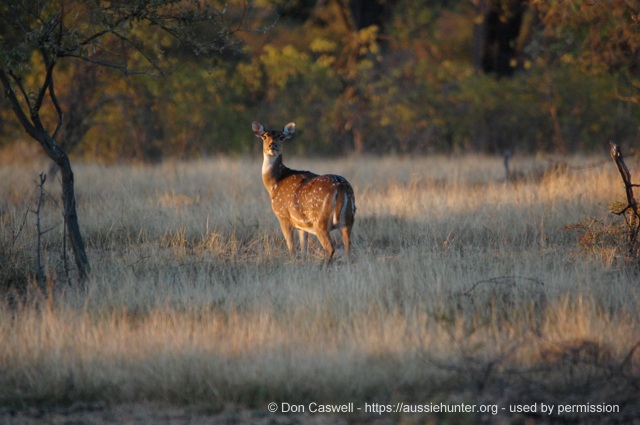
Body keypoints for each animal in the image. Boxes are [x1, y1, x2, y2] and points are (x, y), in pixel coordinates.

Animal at [252, 121, 356, 264]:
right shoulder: (302, 224)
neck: (274, 184)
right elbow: (303, 249)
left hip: (320, 221)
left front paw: (292, 263)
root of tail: (340, 186)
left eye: (281, 137)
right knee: (348, 248)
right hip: (348, 220)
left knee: (330, 247)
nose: (272, 146)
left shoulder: (283, 216)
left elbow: (291, 248)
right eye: (264, 136)